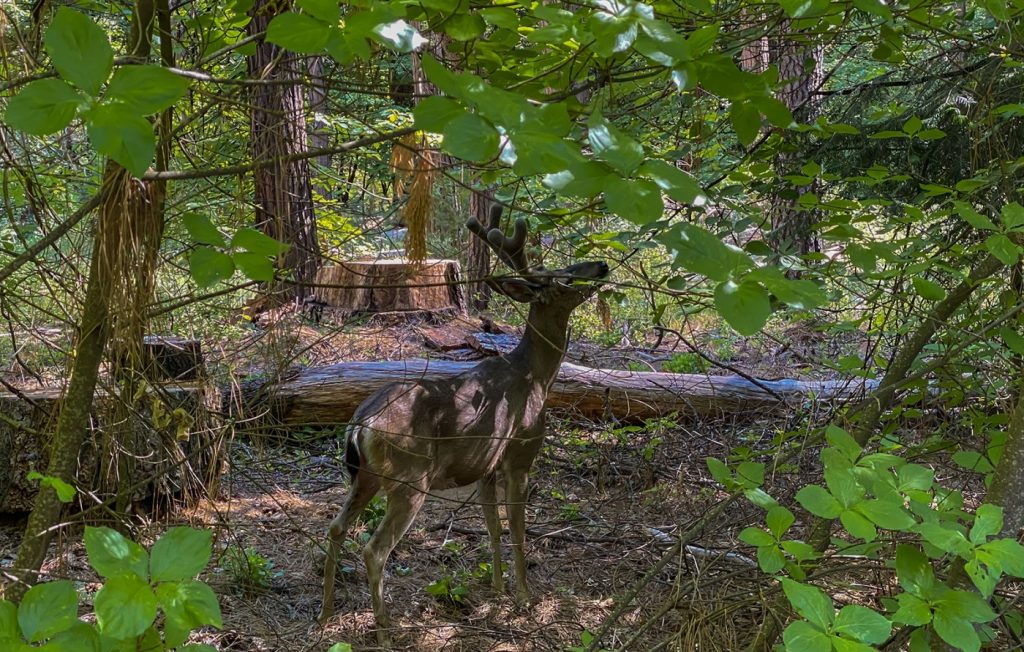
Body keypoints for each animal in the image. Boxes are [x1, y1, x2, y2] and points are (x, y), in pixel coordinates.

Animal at [317, 203, 606, 642]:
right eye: (564, 277)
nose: (603, 265)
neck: (535, 376)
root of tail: (360, 424)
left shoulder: (485, 465)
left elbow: (492, 527)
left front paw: (499, 589)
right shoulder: (519, 453)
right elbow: (518, 529)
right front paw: (525, 599)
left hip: (365, 476)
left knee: (335, 527)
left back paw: (326, 613)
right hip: (410, 477)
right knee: (374, 548)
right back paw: (385, 630)